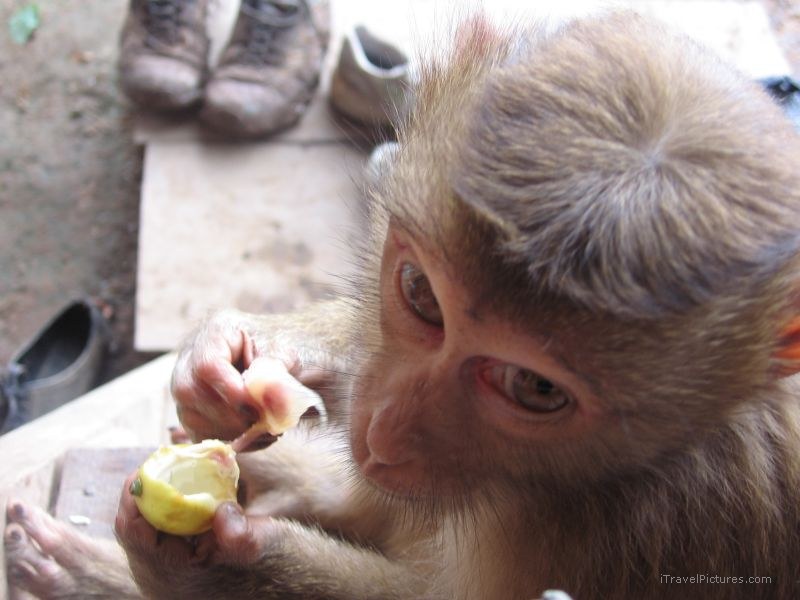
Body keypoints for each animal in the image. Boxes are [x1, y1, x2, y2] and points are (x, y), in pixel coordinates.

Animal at [5, 10, 800, 600]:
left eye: (536, 388)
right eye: (420, 293)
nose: (384, 430)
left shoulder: (653, 531)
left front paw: (216, 568)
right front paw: (232, 362)